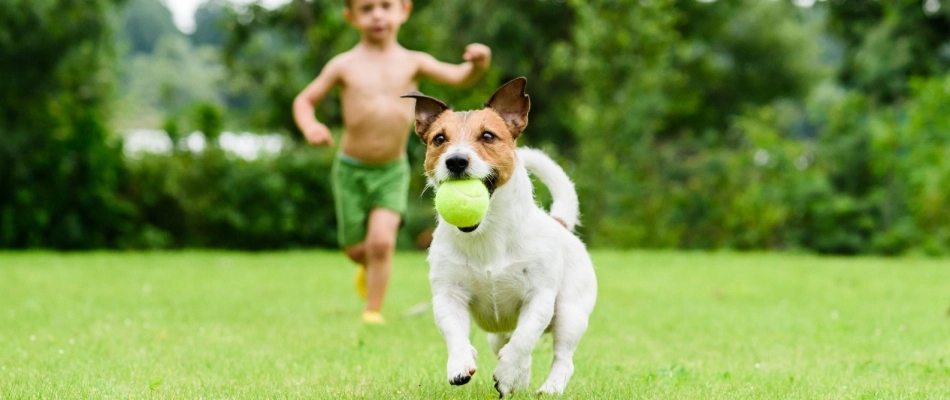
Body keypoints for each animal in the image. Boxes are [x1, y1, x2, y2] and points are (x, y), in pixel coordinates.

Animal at [404, 76, 600, 396]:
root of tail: (559, 223)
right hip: (499, 332)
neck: (487, 234)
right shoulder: (448, 294)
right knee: (508, 344)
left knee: (561, 357)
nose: (455, 161)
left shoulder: (539, 298)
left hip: (570, 313)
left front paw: (507, 373)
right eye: (439, 139)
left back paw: (548, 387)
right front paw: (460, 365)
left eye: (487, 136)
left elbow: (523, 339)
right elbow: (454, 332)